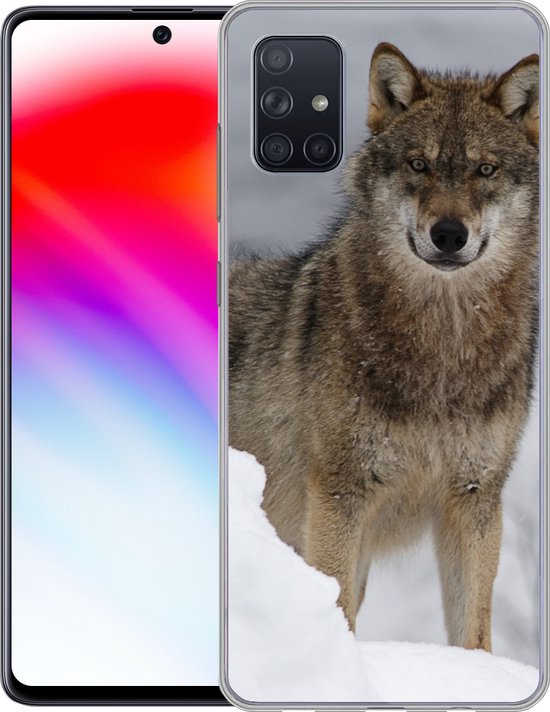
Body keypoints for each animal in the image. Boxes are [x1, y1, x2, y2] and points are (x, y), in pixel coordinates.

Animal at [228, 43, 539, 652]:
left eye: (485, 169)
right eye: (419, 165)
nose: (449, 234)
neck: (443, 348)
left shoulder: (474, 498)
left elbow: (473, 633)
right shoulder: (340, 495)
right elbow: (339, 607)